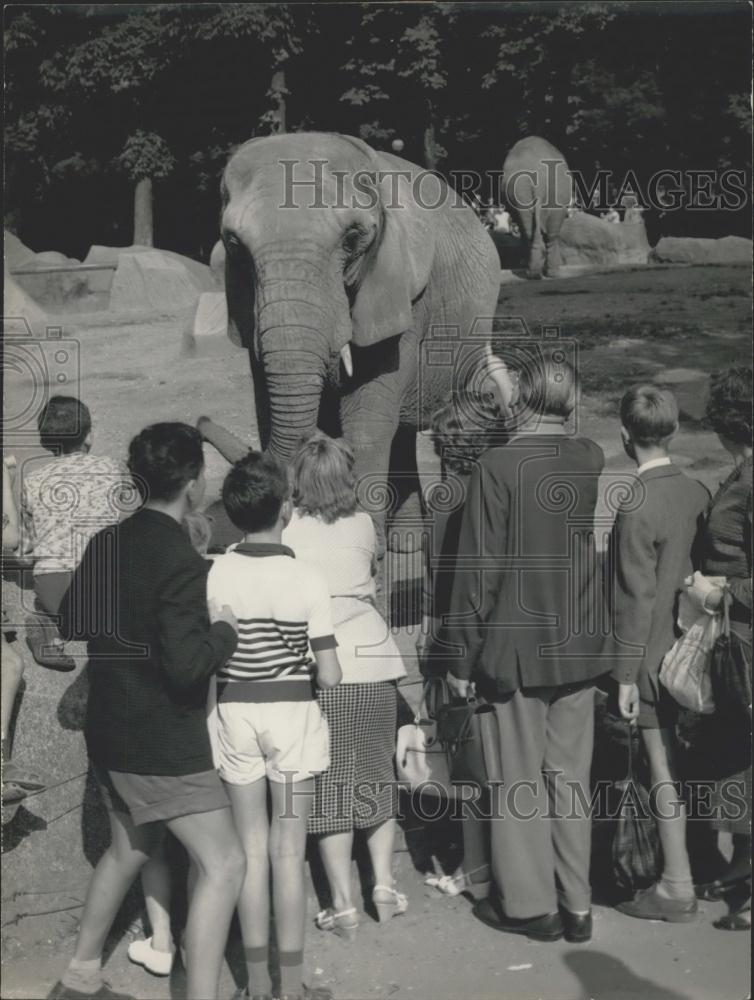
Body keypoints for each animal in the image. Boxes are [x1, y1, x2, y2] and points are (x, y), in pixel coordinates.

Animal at [209, 130, 500, 552]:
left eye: (352, 239)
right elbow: (267, 406)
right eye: (234, 245)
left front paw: (358, 539)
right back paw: (406, 541)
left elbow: (367, 420)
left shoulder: (398, 291)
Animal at [500, 136, 568, 278]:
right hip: (546, 190)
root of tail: (540, 180)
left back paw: (536, 273)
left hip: (525, 190)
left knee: (531, 231)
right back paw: (545, 273)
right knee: (550, 232)